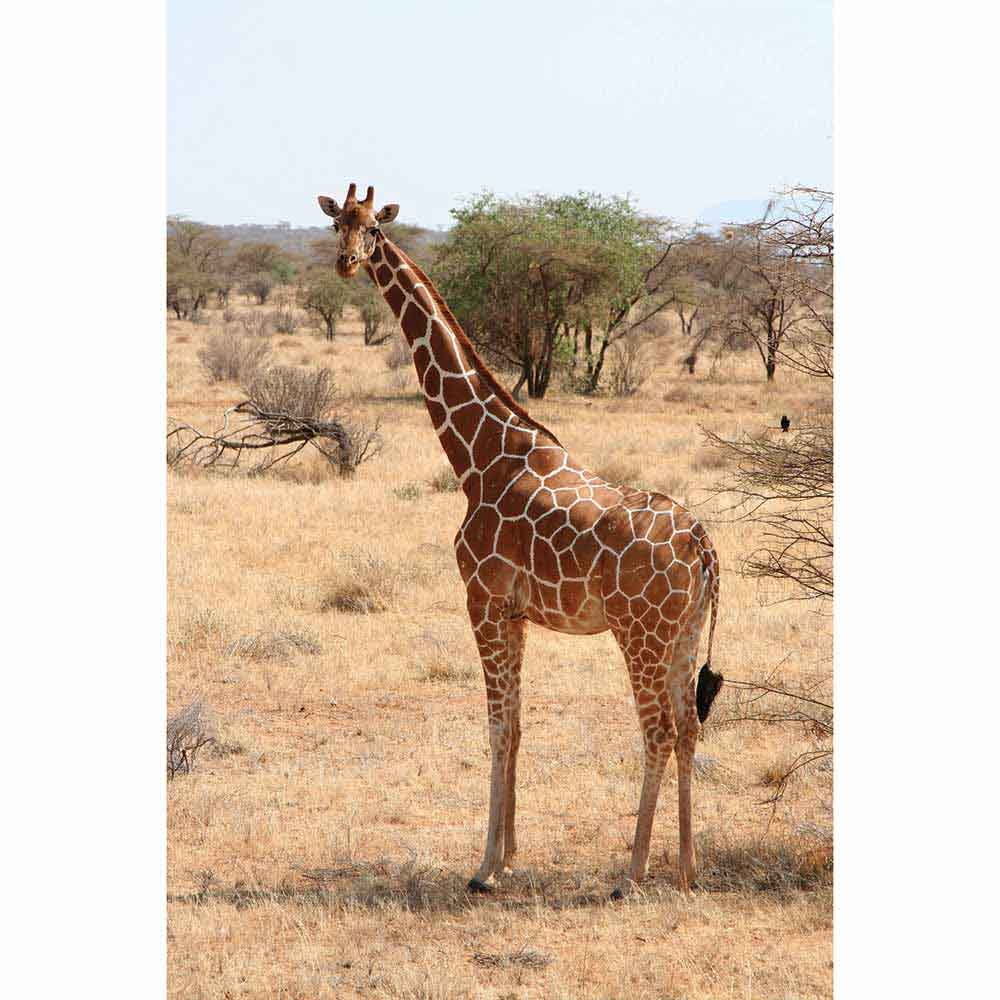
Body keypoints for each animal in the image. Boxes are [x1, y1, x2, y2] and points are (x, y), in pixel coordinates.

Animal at [318, 184, 724, 897]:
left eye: (373, 229)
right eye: (338, 223)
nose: (345, 262)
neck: (477, 453)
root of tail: (704, 547)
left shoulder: (480, 599)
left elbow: (496, 726)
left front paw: (484, 867)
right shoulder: (515, 611)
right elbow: (517, 725)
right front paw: (508, 855)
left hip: (639, 632)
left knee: (654, 730)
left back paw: (631, 873)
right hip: (681, 633)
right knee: (687, 727)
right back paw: (684, 869)